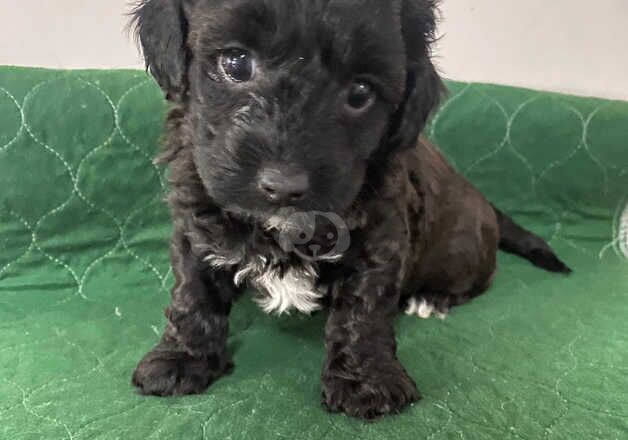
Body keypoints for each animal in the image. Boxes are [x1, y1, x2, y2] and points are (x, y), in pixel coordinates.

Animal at [130, 0, 572, 420]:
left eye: (361, 92)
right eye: (236, 63)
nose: (284, 184)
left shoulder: (379, 237)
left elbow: (364, 308)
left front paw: (367, 381)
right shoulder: (196, 220)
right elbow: (194, 291)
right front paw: (181, 358)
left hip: (461, 252)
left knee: (476, 279)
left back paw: (431, 299)